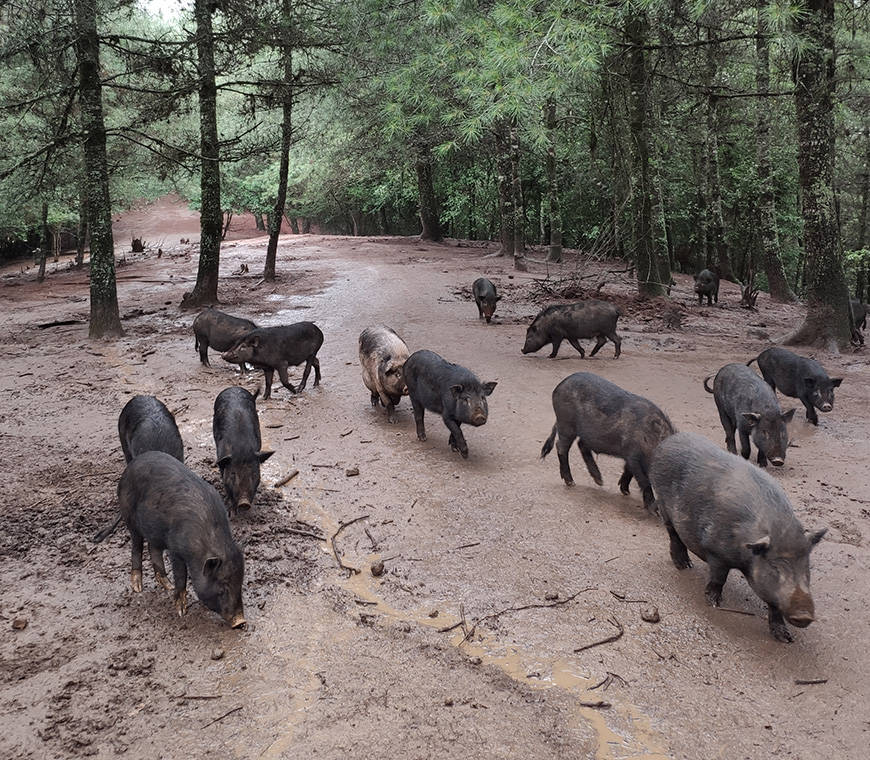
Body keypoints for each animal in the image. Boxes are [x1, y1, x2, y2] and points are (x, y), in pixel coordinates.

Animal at [94, 452, 247, 628]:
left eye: (240, 584)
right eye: (222, 587)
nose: (241, 621)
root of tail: (128, 470)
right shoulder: (175, 549)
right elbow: (181, 574)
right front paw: (181, 612)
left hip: (154, 530)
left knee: (153, 548)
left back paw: (167, 585)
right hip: (129, 516)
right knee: (137, 545)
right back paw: (138, 587)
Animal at [540, 370, 676, 508]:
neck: (651, 440)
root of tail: (560, 385)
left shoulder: (630, 457)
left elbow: (628, 470)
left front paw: (625, 491)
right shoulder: (633, 455)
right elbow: (643, 480)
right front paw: (653, 509)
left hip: (586, 433)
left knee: (581, 444)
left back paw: (599, 481)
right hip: (566, 423)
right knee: (561, 446)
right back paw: (571, 482)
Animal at [652, 434, 828, 640]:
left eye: (806, 565)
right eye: (775, 566)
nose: (804, 615)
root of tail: (668, 441)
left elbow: (774, 605)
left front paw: (785, 638)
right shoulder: (716, 551)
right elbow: (719, 577)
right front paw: (713, 602)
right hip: (663, 503)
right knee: (674, 535)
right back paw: (685, 566)